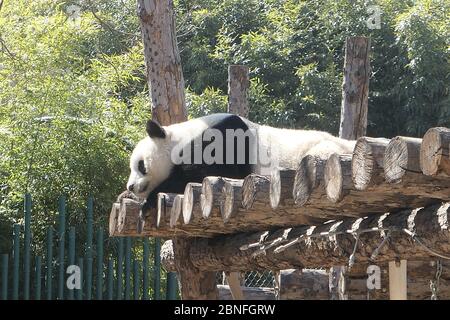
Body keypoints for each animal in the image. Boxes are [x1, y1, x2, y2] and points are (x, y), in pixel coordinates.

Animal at [124, 114, 356, 226]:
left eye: (141, 165)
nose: (131, 186)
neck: (181, 139)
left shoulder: (224, 141)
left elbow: (204, 172)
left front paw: (148, 203)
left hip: (323, 153)